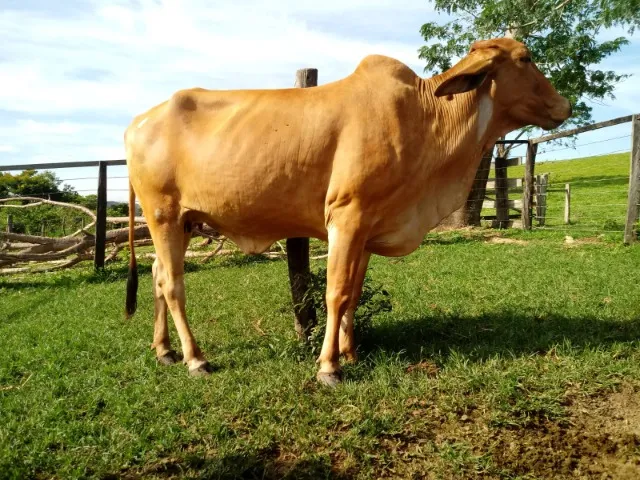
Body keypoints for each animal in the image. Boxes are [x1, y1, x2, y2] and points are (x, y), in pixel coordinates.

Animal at [124, 38, 571, 386]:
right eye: (525, 57)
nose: (565, 105)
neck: (425, 118)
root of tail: (138, 121)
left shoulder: (369, 228)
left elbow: (354, 293)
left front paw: (351, 352)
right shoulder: (346, 216)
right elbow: (335, 292)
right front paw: (329, 366)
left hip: (184, 222)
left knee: (157, 273)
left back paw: (164, 350)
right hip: (163, 215)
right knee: (173, 284)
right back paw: (195, 358)